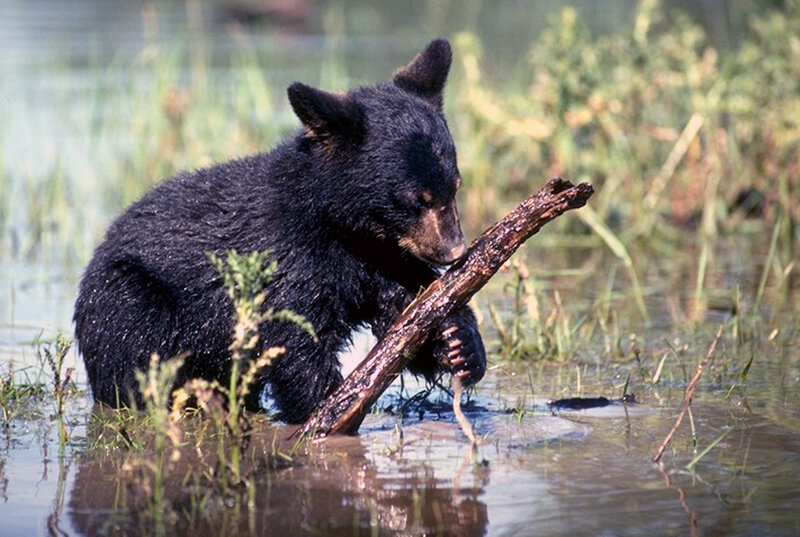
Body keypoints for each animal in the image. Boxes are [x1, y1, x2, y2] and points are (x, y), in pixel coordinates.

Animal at [73, 38, 486, 424]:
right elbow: (293, 336)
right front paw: (329, 407)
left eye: (455, 186)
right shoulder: (288, 255)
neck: (339, 225)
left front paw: (458, 343)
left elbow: (405, 309)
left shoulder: (379, 259)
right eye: (416, 198)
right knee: (138, 344)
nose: (455, 251)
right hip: (125, 298)